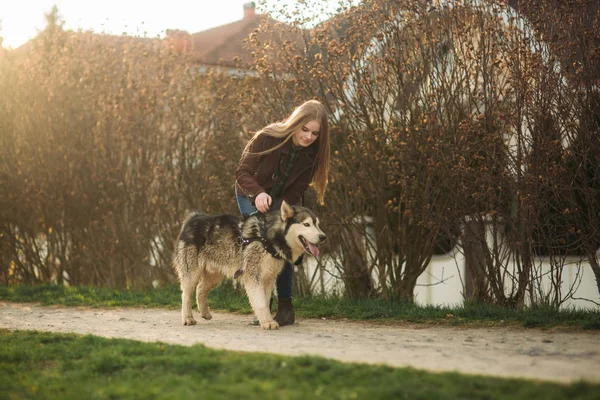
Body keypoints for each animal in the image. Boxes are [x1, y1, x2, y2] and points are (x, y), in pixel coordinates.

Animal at [171, 202, 326, 330]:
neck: (266, 238)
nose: (323, 237)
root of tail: (193, 217)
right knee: (186, 294)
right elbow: (261, 302)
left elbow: (265, 301)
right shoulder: (253, 276)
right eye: (306, 224)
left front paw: (265, 319)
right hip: (192, 273)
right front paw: (267, 322)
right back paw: (187, 318)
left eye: (318, 224)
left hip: (215, 275)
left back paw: (205, 313)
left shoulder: (268, 279)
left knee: (200, 289)